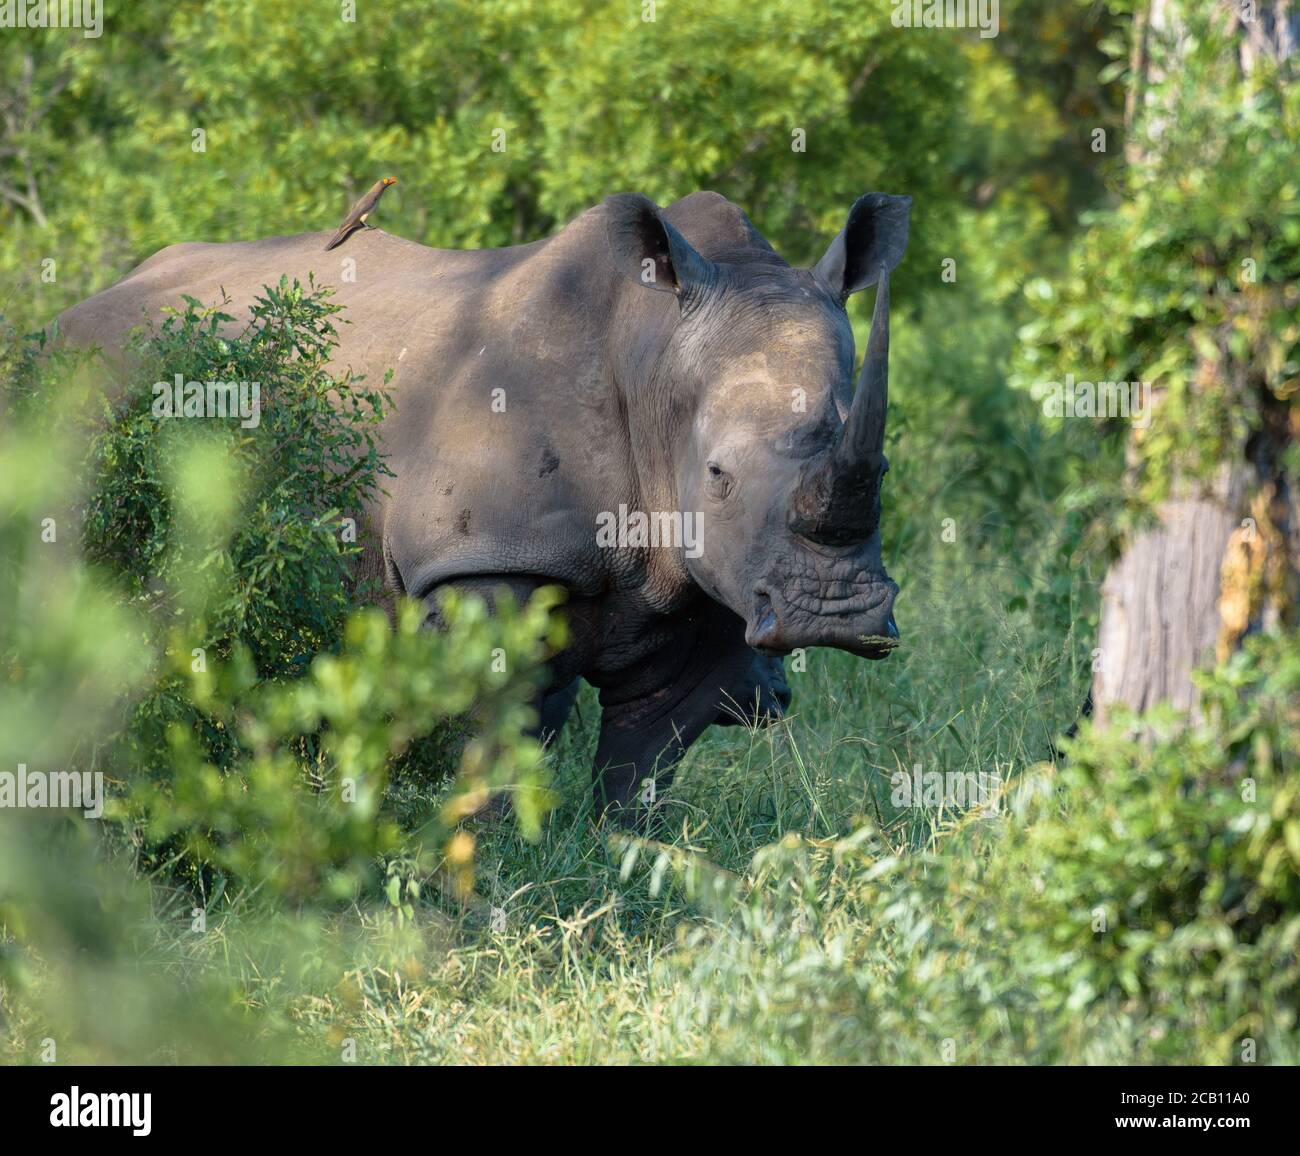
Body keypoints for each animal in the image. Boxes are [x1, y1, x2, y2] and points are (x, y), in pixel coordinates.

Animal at [54, 189, 911, 820]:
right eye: (718, 474)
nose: (836, 614)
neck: (653, 354)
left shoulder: (704, 572)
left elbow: (646, 756)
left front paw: (625, 859)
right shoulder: (487, 559)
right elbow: (496, 728)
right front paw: (487, 870)